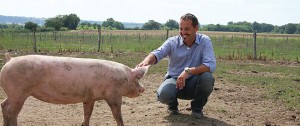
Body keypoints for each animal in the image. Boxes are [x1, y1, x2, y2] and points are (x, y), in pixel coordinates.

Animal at [0, 53, 149, 126]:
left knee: (3, 105)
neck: (125, 77)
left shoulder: (89, 97)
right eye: (138, 79)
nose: (143, 88)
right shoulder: (114, 96)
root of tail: (9, 60)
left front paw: (84, 124)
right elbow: (117, 116)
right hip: (19, 92)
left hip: (12, 93)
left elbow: (87, 113)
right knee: (11, 111)